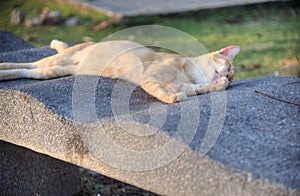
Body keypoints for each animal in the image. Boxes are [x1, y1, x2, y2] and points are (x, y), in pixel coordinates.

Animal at [0, 40, 240, 104]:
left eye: (231, 77)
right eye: (229, 68)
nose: (228, 77)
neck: (187, 73)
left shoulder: (190, 86)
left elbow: (201, 88)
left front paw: (217, 86)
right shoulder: (149, 77)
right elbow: (160, 90)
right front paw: (172, 97)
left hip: (54, 70)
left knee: (27, 70)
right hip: (58, 59)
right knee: (28, 64)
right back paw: (2, 67)